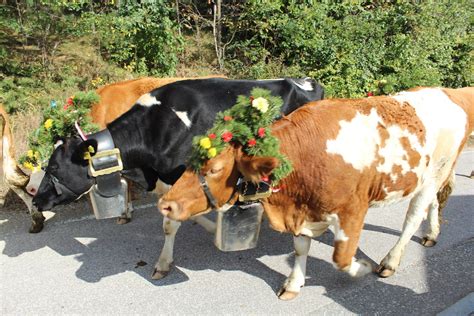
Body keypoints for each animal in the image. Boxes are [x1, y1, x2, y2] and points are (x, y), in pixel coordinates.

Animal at [31, 78, 324, 278]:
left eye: (54, 167)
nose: (36, 200)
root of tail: (305, 81)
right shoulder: (169, 181)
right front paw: (211, 226)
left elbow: (170, 224)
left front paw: (163, 264)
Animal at [160, 86, 474, 298]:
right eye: (189, 160)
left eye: (214, 168)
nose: (166, 204)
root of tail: (447, 92)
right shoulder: (305, 210)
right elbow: (301, 247)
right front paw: (293, 283)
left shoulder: (353, 209)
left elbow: (342, 258)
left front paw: (361, 267)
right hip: (432, 176)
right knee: (434, 203)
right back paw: (432, 233)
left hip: (434, 173)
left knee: (412, 218)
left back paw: (390, 261)